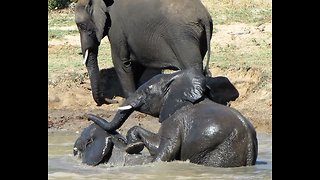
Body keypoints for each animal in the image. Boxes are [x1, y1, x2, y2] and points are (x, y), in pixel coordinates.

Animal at [75, 0, 214, 105]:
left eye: (81, 25)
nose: (112, 100)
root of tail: (204, 17)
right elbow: (136, 63)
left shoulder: (116, 26)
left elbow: (120, 61)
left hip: (183, 38)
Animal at [87, 68, 258, 167]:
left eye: (147, 91)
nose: (87, 116)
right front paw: (134, 145)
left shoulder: (174, 122)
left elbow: (163, 148)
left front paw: (134, 148)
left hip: (216, 151)